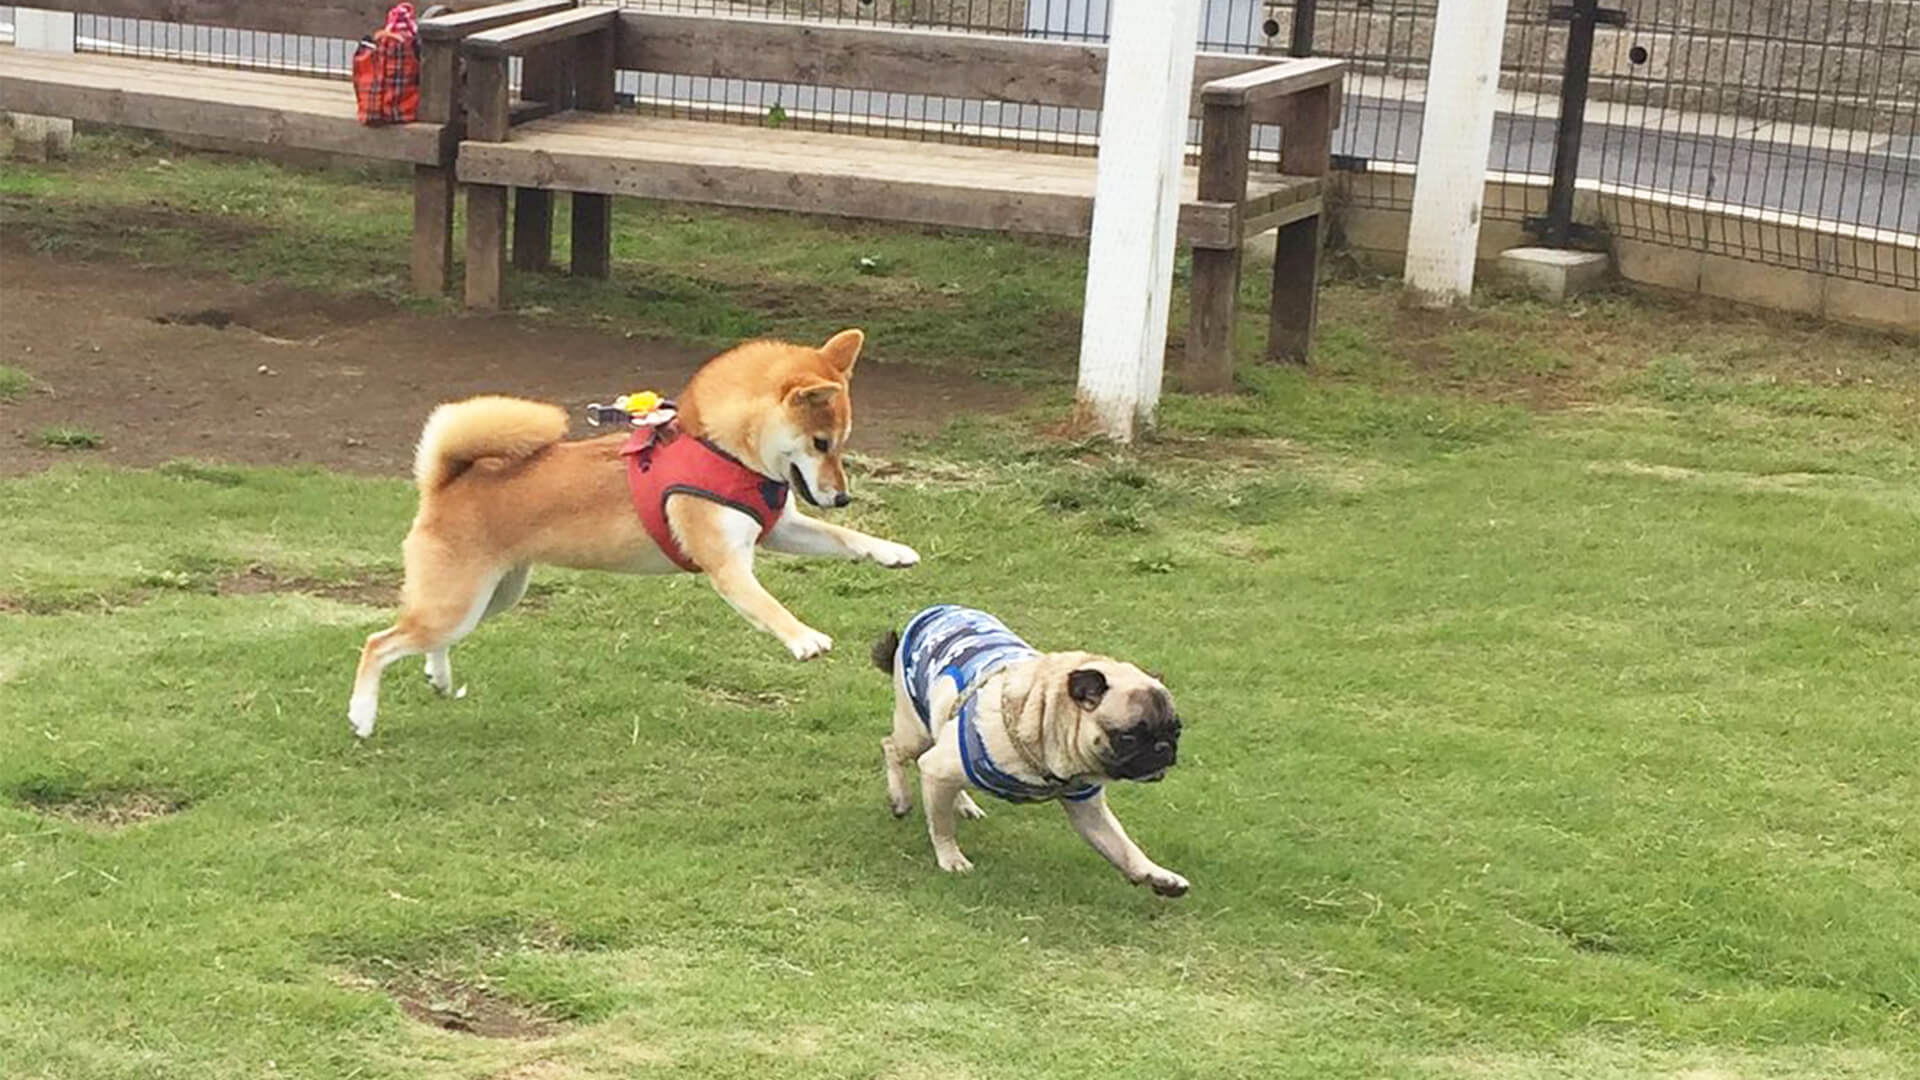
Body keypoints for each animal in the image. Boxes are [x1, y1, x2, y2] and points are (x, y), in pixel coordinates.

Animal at [353, 326, 921, 730]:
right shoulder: (727, 565)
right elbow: (768, 606)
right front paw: (803, 638)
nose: (842, 497)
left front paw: (892, 551)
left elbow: (845, 540)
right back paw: (361, 715)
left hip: (489, 599)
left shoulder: (777, 529)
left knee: (425, 638)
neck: (724, 450)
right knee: (380, 642)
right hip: (458, 602)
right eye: (821, 443)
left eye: (843, 444)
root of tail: (447, 481)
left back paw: (438, 677)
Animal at [871, 607, 1182, 891]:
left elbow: (1123, 846)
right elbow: (941, 825)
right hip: (916, 733)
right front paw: (951, 858)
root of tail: (934, 611)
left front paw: (1156, 874)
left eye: (1176, 730)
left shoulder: (1090, 812)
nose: (1163, 747)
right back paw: (900, 798)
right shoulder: (939, 768)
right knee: (893, 748)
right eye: (1129, 737)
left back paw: (964, 804)